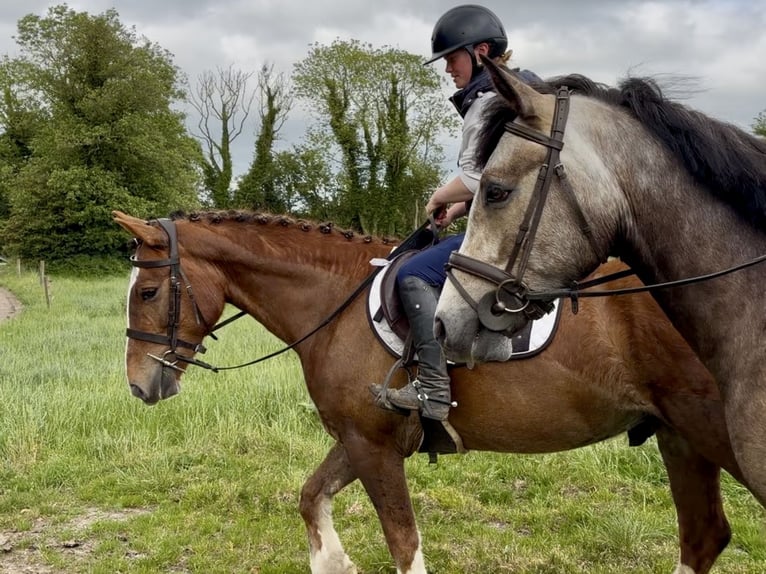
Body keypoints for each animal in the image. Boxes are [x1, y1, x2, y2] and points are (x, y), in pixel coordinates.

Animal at [115, 209, 752, 574]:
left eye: (147, 292)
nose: (140, 385)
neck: (335, 301)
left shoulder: (372, 447)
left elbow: (402, 542)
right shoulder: (360, 438)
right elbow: (311, 497)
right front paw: (336, 562)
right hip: (681, 439)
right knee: (703, 538)